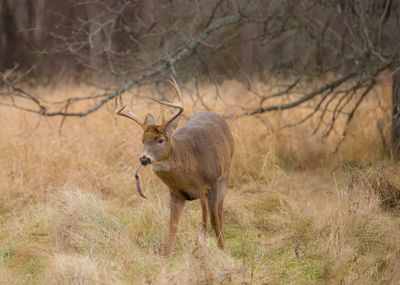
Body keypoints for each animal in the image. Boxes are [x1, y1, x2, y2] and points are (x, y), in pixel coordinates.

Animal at [115, 77, 234, 255]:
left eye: (161, 140)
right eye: (142, 140)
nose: (144, 159)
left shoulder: (213, 182)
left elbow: (215, 219)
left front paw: (223, 250)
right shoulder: (176, 192)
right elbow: (173, 224)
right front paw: (166, 253)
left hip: (225, 174)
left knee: (218, 211)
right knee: (204, 211)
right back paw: (200, 243)